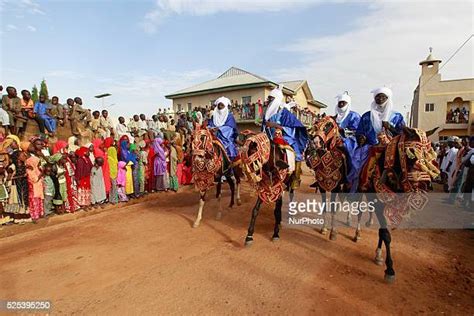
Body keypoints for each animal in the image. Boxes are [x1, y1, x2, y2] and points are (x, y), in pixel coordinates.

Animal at [360, 127, 440, 282]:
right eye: (411, 153)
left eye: (429, 153)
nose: (424, 183)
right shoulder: (379, 203)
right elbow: (385, 234)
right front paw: (390, 269)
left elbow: (383, 231)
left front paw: (381, 257)